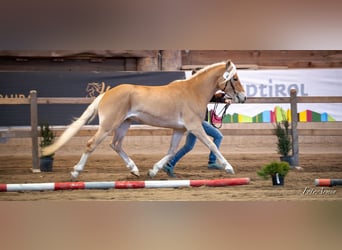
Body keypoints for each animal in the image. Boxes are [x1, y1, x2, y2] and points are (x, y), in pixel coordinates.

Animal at [42, 59, 246, 179]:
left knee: (116, 145)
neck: (193, 91)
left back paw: (134, 169)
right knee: (91, 144)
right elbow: (212, 145)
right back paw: (75, 172)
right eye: (235, 78)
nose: (243, 98)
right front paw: (228, 168)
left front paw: (153, 170)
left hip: (124, 124)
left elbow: (171, 151)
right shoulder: (195, 127)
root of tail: (106, 93)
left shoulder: (179, 129)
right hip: (108, 125)